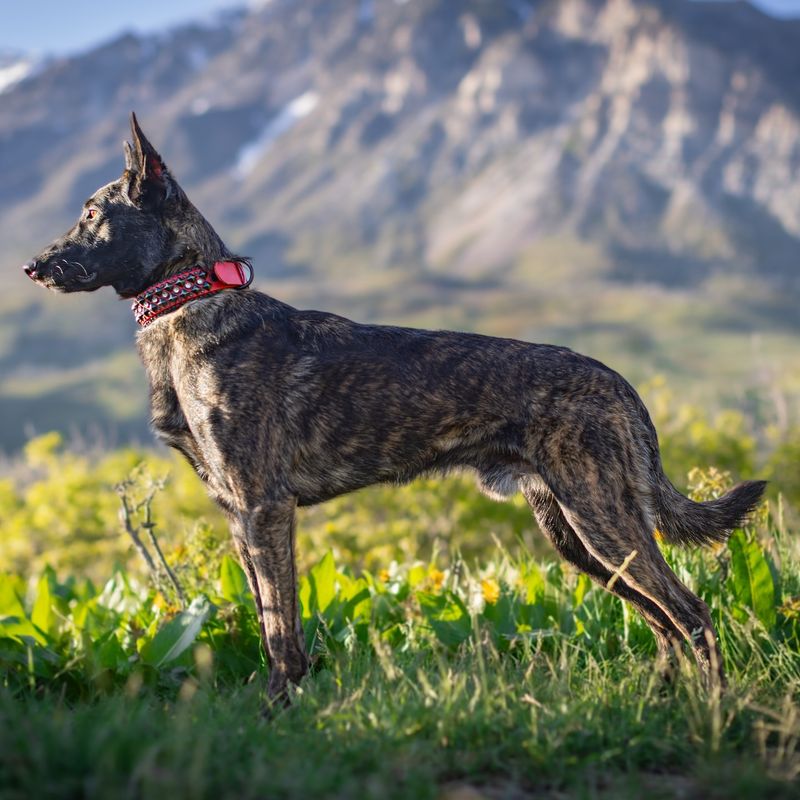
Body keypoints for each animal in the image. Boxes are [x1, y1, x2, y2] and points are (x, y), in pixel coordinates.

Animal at [23, 115, 764, 704]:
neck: (192, 300)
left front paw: (280, 711)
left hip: (602, 520)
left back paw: (713, 712)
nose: (33, 266)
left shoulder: (264, 507)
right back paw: (660, 701)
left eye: (93, 214)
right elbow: (266, 618)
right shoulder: (237, 514)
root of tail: (617, 382)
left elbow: (281, 631)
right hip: (576, 534)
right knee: (661, 620)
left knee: (691, 613)